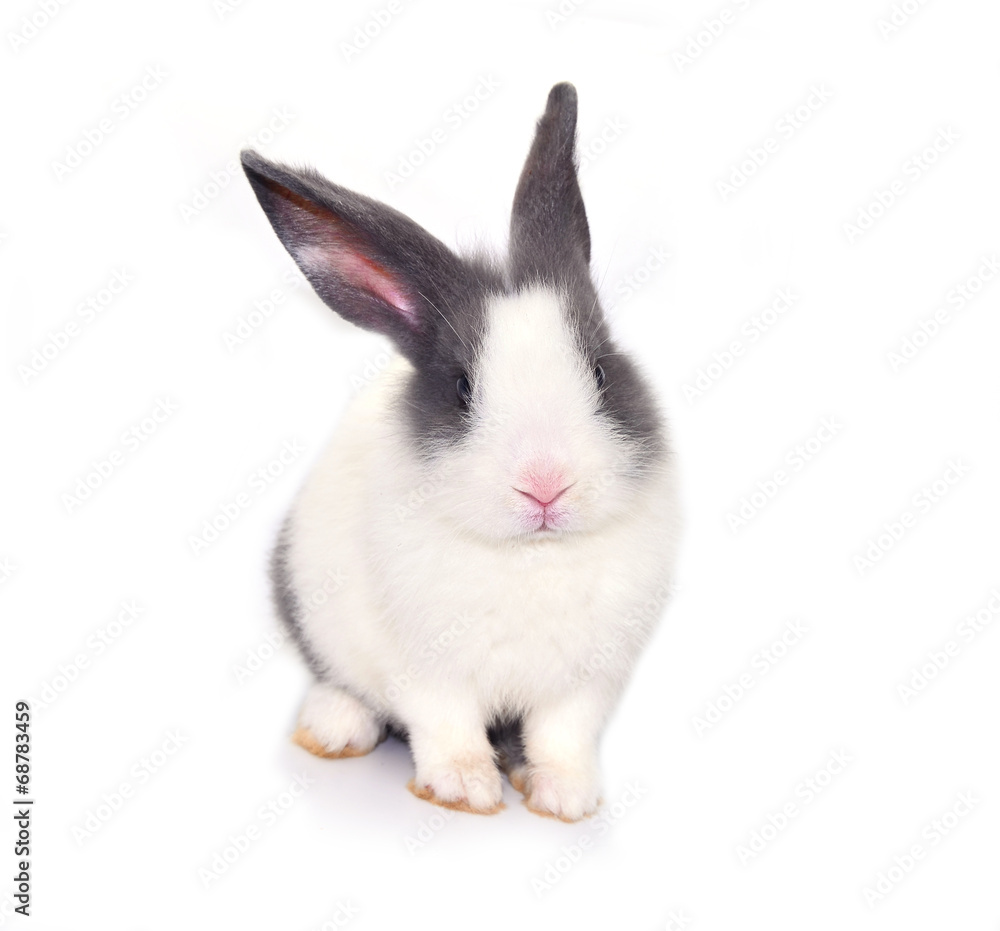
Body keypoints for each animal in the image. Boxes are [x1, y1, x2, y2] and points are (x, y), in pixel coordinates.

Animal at [240, 82, 680, 822]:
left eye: (598, 372)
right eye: (463, 387)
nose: (545, 485)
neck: (530, 556)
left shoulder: (587, 679)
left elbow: (562, 734)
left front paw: (567, 798)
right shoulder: (424, 666)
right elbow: (445, 723)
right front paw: (465, 788)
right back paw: (334, 727)